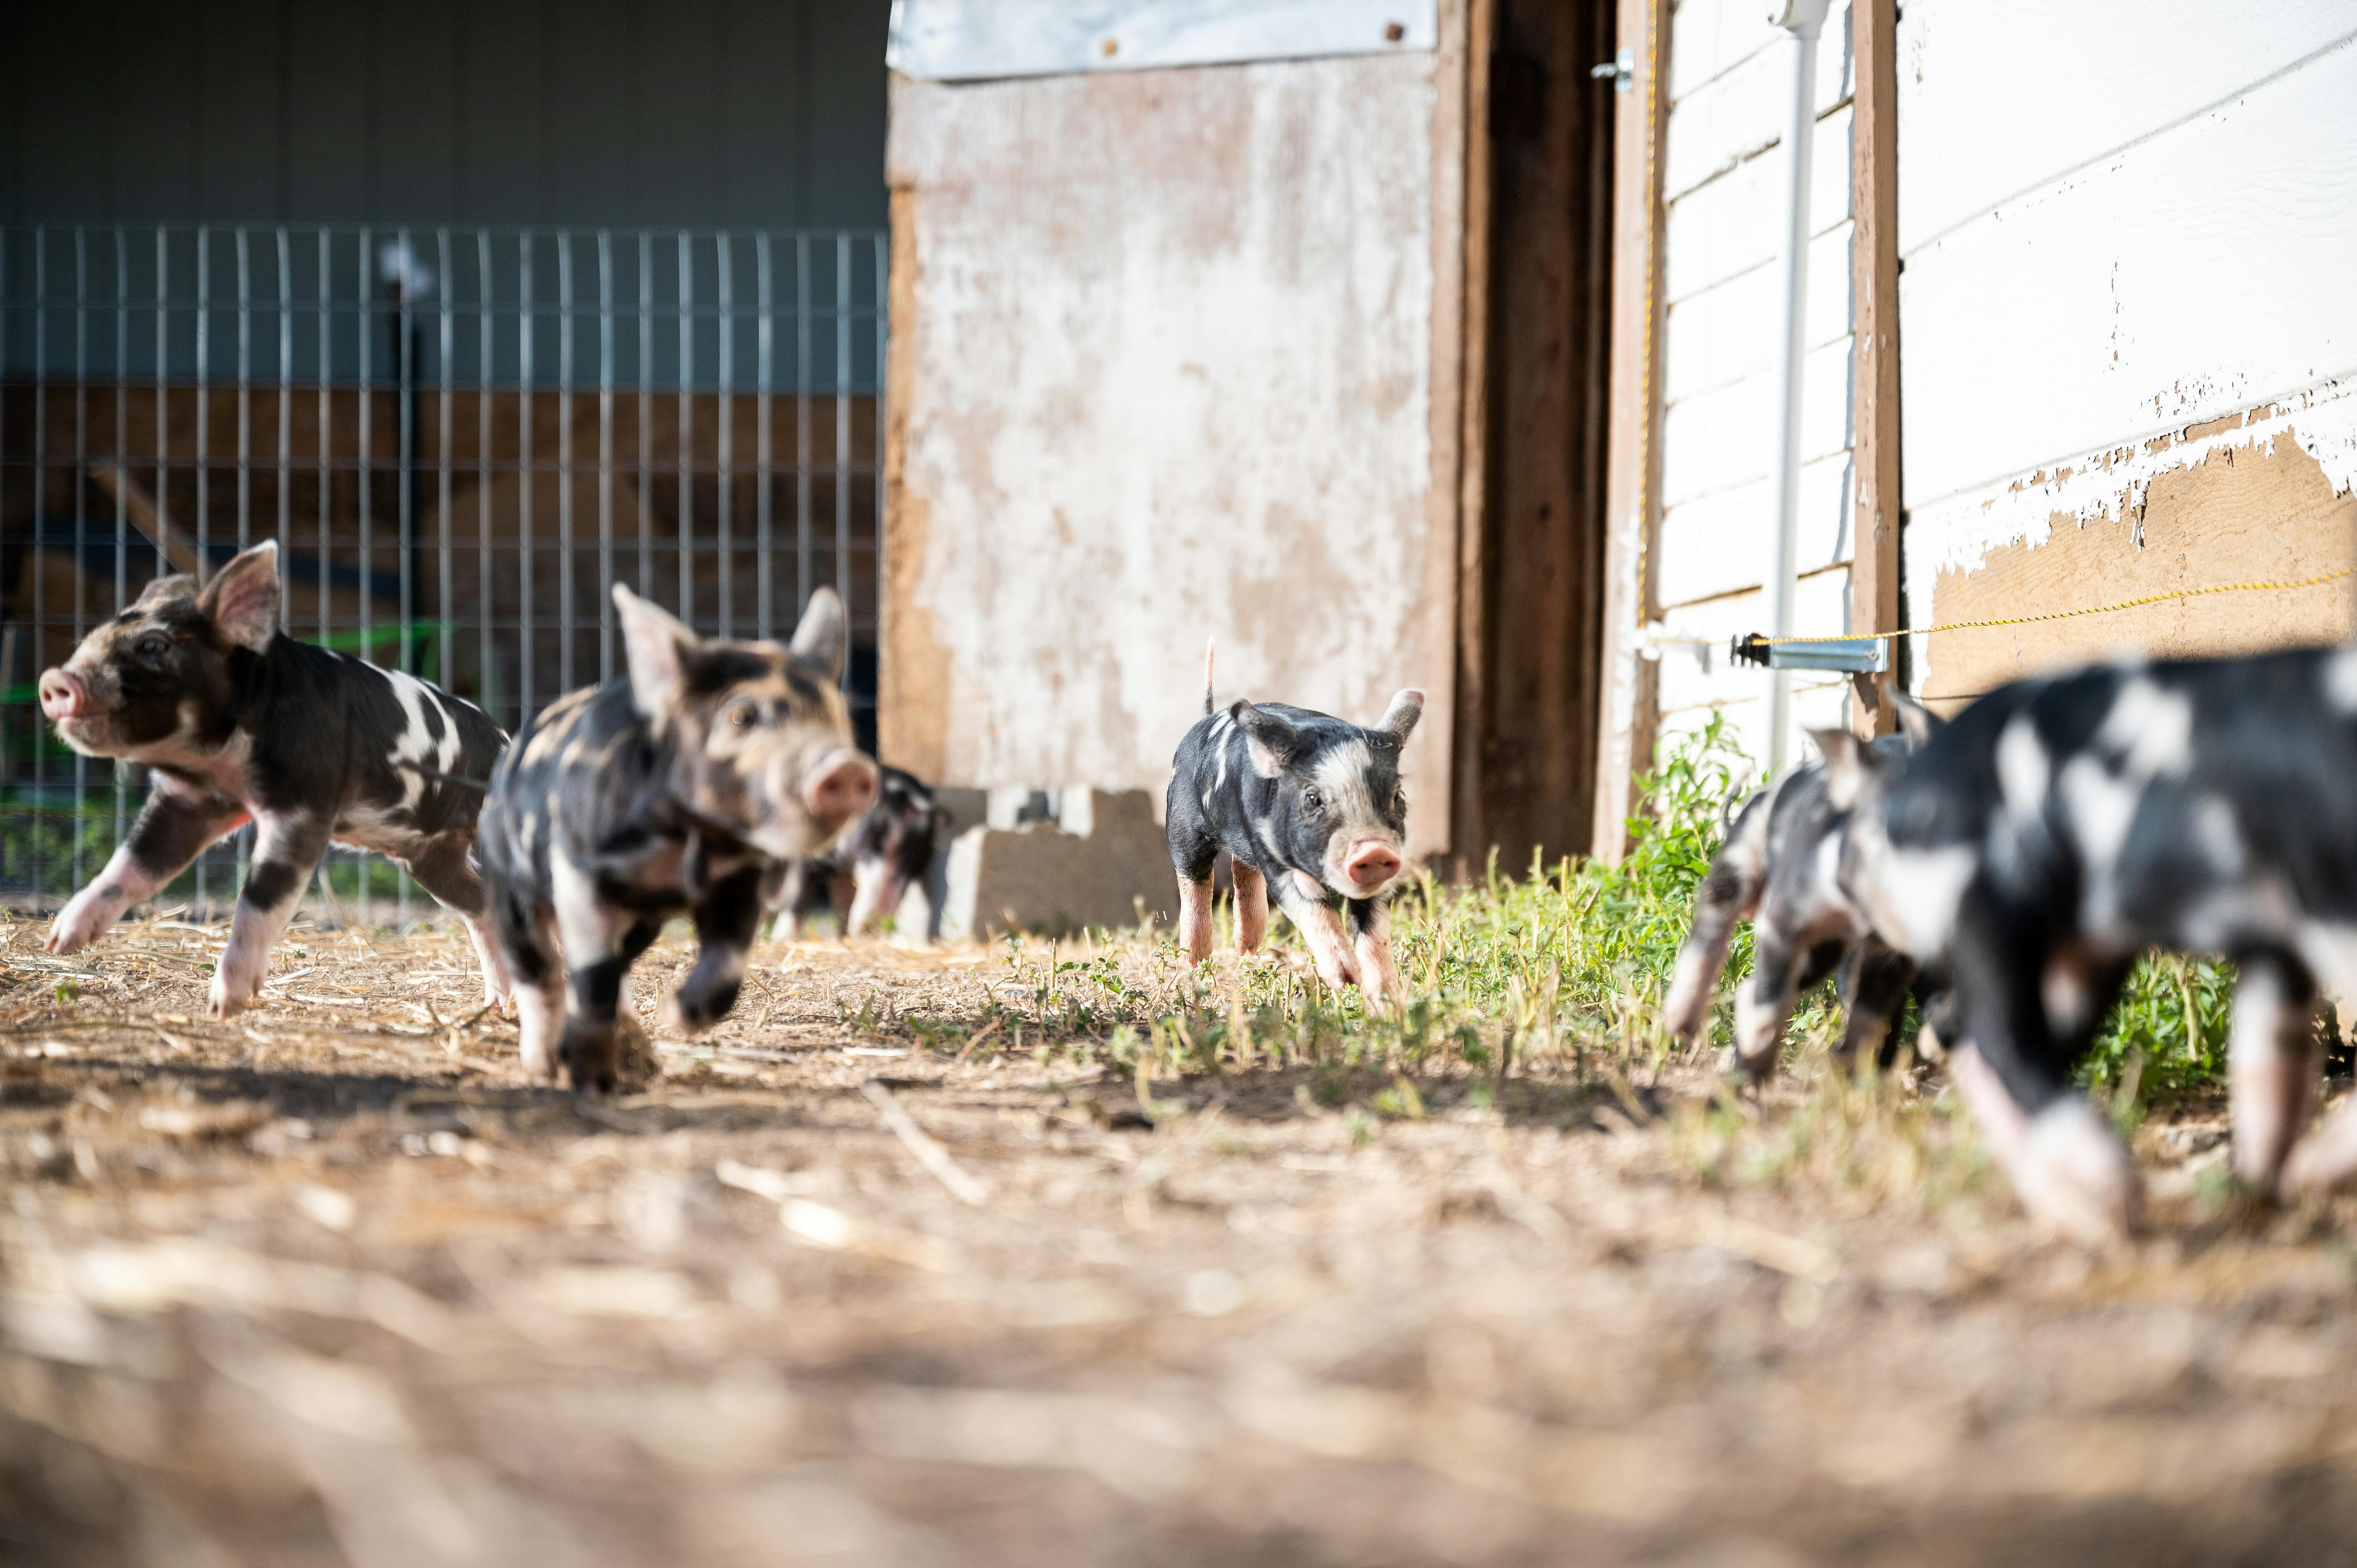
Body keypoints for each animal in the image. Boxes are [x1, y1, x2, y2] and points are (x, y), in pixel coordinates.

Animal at [36, 541, 510, 1017]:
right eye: (92, 637)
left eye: (154, 645)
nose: (54, 679)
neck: (221, 764)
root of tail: (507, 739)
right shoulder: (189, 802)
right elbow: (133, 862)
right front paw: (60, 941)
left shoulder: (303, 806)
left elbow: (261, 898)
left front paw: (223, 1005)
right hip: (430, 856)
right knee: (480, 905)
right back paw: (497, 1004)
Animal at [475, 583, 879, 1091]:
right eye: (741, 716)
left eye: (837, 716)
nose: (848, 768)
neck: (688, 841)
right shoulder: (578, 871)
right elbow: (592, 978)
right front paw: (593, 1083)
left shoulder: (737, 883)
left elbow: (726, 969)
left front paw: (674, 1016)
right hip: (507, 885)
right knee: (540, 973)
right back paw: (544, 1066)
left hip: (642, 924)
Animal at [767, 765, 945, 941]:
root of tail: (903, 795)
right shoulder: (843, 873)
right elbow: (842, 905)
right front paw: (841, 938)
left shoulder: (805, 859)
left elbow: (798, 897)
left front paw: (780, 940)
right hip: (912, 860)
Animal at [1165, 647, 1423, 1002]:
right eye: (1313, 798)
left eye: (1397, 795)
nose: (1372, 849)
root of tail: (1204, 720)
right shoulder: (1276, 859)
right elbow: (1310, 907)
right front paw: (1346, 978)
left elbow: (1375, 936)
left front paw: (1384, 999)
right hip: (1183, 827)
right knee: (1194, 881)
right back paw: (1197, 967)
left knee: (1242, 870)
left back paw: (1247, 950)